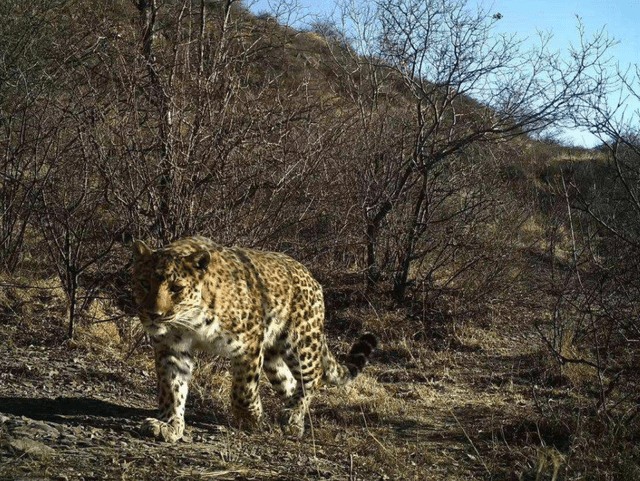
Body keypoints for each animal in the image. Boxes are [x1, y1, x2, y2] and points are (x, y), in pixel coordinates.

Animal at [132, 234, 378, 440]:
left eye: (176, 288)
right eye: (144, 283)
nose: (154, 315)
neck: (191, 321)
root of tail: (313, 279)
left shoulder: (248, 342)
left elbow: (243, 389)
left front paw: (250, 419)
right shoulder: (171, 347)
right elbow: (172, 389)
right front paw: (169, 425)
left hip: (300, 342)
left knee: (313, 376)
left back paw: (292, 418)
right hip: (272, 357)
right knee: (289, 382)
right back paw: (291, 416)